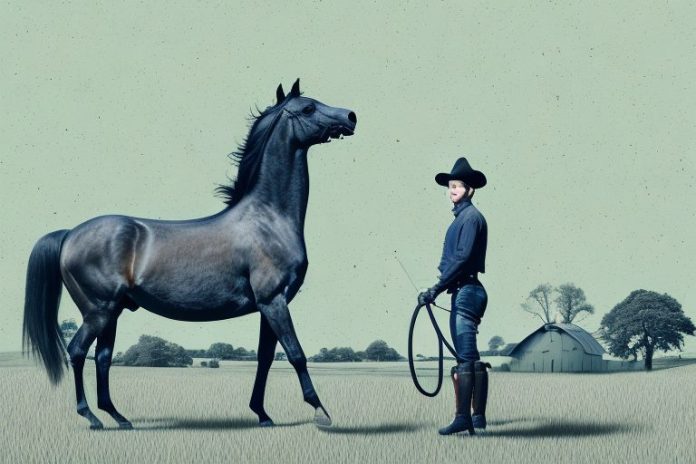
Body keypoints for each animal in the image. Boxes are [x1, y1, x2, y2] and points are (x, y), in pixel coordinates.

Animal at [22, 79, 357, 430]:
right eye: (308, 108)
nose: (351, 117)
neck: (267, 218)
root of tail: (70, 233)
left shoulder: (271, 304)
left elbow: (265, 358)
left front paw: (263, 414)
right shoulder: (274, 300)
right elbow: (296, 354)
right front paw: (320, 411)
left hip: (110, 313)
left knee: (102, 358)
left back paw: (118, 417)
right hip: (98, 310)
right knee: (76, 352)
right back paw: (91, 417)